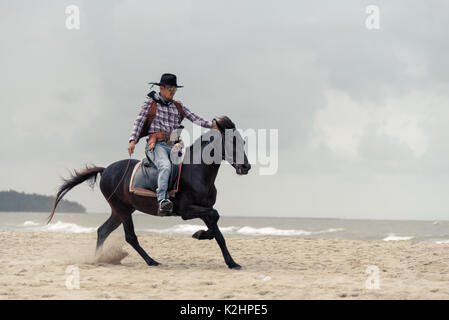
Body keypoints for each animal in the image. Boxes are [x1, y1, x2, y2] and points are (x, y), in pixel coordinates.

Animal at [49, 116, 252, 268]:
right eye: (231, 141)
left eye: (242, 141)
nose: (246, 167)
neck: (196, 171)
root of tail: (105, 170)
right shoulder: (187, 211)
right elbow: (215, 218)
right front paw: (200, 234)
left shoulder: (203, 209)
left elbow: (218, 233)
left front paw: (231, 262)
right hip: (122, 210)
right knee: (130, 237)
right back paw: (151, 261)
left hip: (120, 211)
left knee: (102, 231)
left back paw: (97, 259)